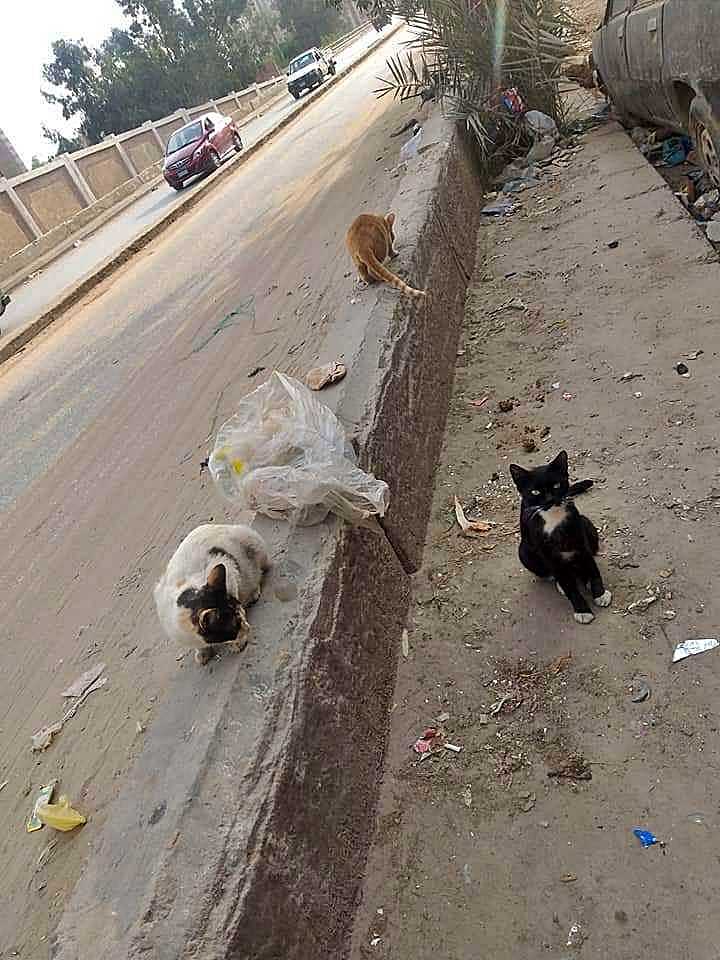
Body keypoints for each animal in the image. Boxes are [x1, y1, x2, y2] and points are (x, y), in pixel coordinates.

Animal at [154, 523, 269, 664]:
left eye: (239, 619)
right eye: (235, 625)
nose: (248, 627)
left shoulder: (228, 568)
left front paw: (237, 642)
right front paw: (202, 653)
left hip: (252, 543)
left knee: (259, 571)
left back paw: (253, 592)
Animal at [509, 450, 611, 624]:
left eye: (556, 485)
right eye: (535, 492)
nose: (550, 499)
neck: (553, 516)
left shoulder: (579, 540)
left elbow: (592, 567)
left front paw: (599, 593)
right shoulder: (549, 555)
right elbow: (569, 586)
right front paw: (582, 610)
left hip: (585, 523)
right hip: (524, 552)